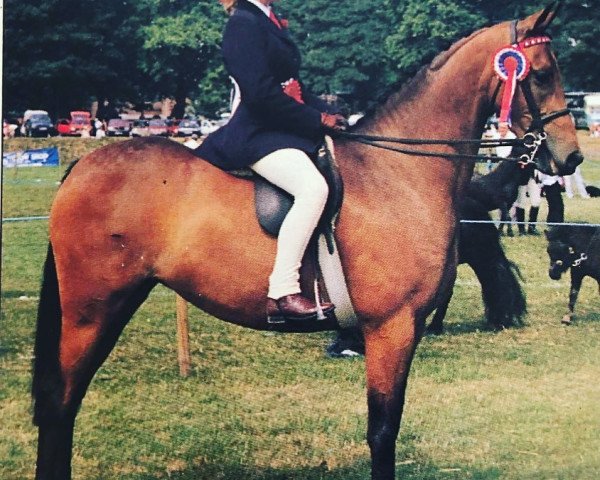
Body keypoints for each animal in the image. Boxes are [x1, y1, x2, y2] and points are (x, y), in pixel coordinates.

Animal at [32, 4, 580, 480]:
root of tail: (82, 165)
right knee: (60, 405)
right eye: (540, 74)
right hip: (90, 310)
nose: (571, 157)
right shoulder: (392, 328)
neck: (398, 173)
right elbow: (383, 432)